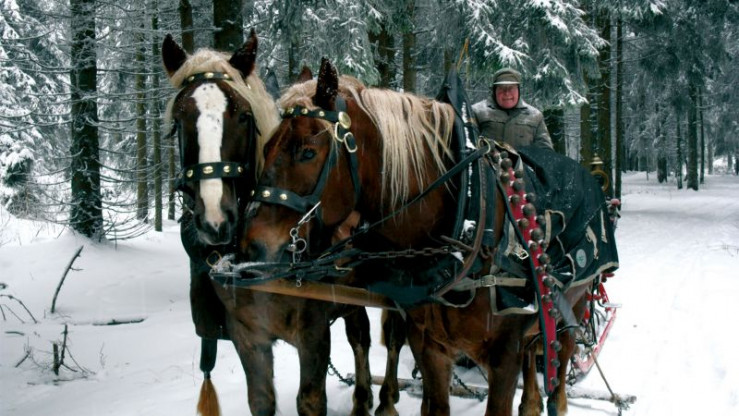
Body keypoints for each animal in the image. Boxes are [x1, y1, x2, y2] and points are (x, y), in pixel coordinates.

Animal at [161, 34, 374, 416]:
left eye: (244, 117)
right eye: (178, 118)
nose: (216, 219)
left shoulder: (313, 335)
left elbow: (310, 400)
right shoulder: (248, 336)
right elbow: (261, 400)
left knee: (360, 337)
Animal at [237, 58, 618, 416]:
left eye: (307, 151)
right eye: (266, 146)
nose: (252, 245)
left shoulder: (503, 356)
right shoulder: (429, 345)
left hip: (570, 311)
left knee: (558, 374)